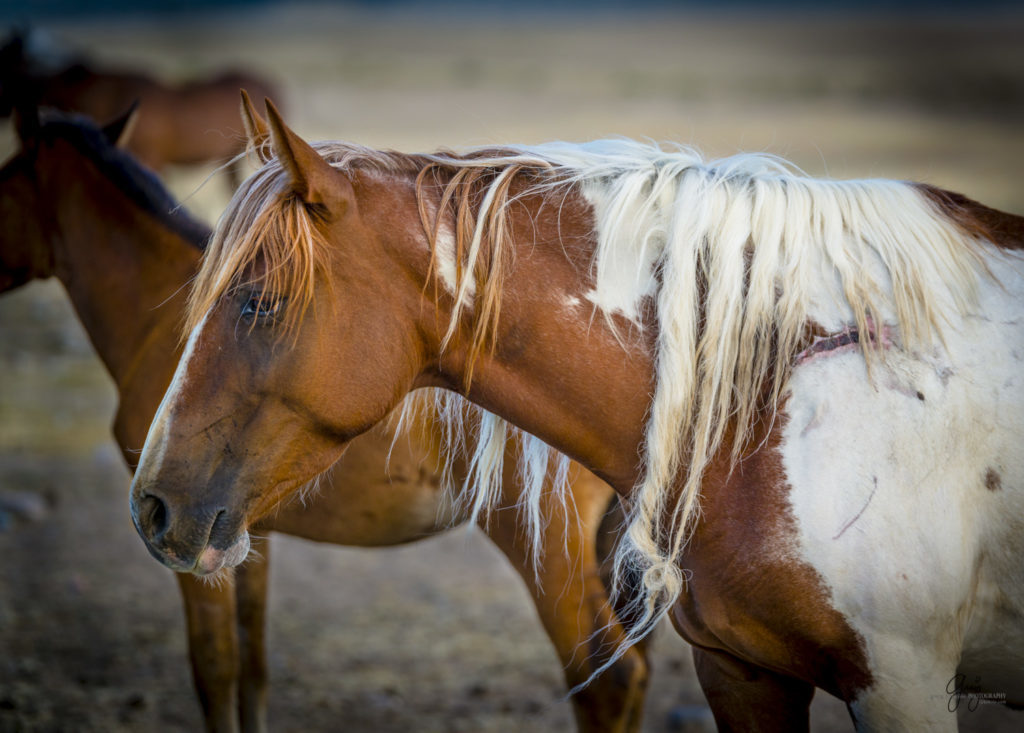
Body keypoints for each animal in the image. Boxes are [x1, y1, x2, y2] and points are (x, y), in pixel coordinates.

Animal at [0, 107, 647, 733]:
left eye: (259, 302)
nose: (149, 508)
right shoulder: (241, 531)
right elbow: (253, 665)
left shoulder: (198, 549)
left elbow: (215, 669)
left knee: (608, 678)